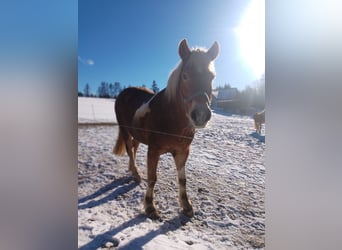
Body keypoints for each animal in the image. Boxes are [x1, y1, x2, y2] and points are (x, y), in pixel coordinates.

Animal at [112, 39, 219, 219]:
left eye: (212, 77)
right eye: (185, 75)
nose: (201, 115)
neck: (171, 119)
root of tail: (123, 93)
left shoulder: (182, 152)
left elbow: (182, 179)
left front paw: (186, 205)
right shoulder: (153, 151)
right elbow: (152, 178)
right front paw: (150, 207)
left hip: (137, 134)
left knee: (133, 148)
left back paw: (133, 171)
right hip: (125, 130)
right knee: (129, 150)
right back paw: (135, 173)